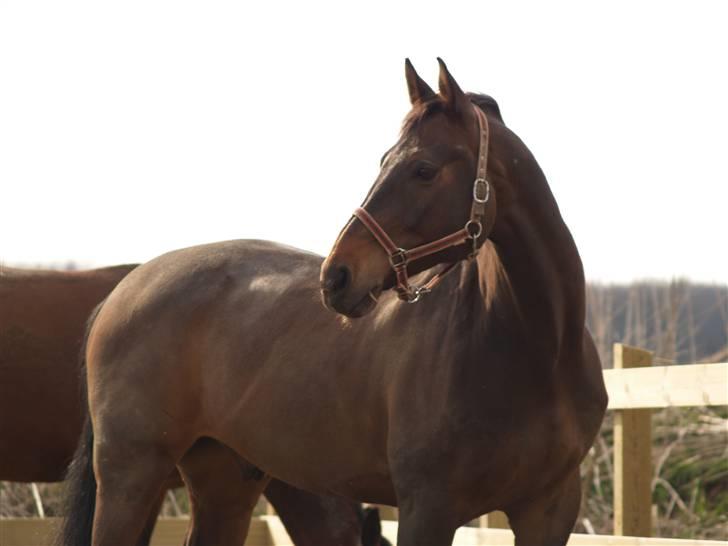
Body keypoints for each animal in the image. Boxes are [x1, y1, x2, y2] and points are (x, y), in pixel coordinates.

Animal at [57, 59, 604, 544]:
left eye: (424, 169)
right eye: (384, 162)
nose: (337, 276)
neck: (533, 351)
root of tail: (121, 292)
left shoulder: (548, 511)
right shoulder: (429, 508)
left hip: (224, 481)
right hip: (131, 476)